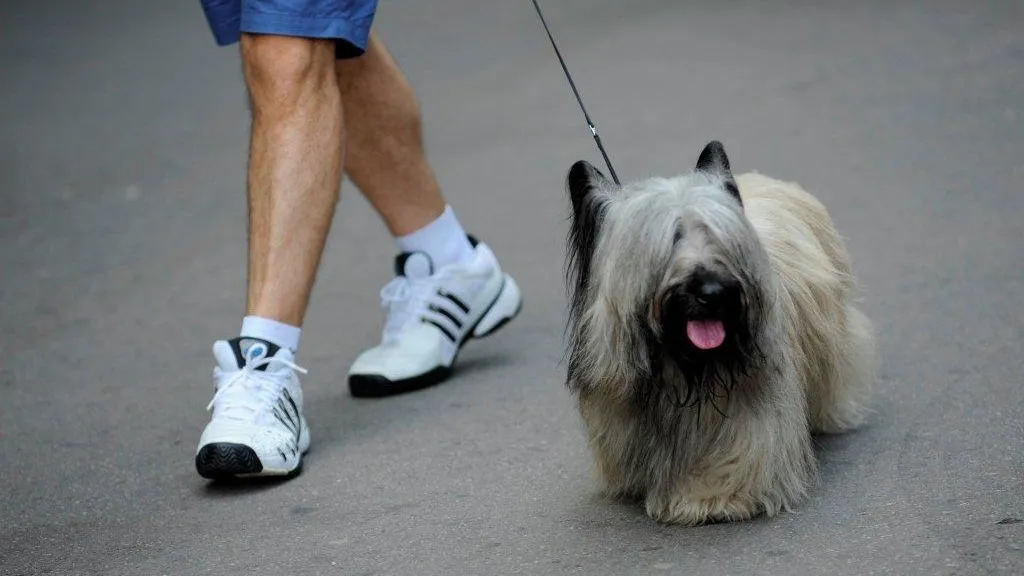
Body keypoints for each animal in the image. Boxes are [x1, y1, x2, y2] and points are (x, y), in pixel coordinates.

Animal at [565, 141, 876, 522]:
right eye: (672, 239)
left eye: (717, 237)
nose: (713, 292)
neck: (680, 368)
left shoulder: (750, 401)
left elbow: (743, 452)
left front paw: (708, 497)